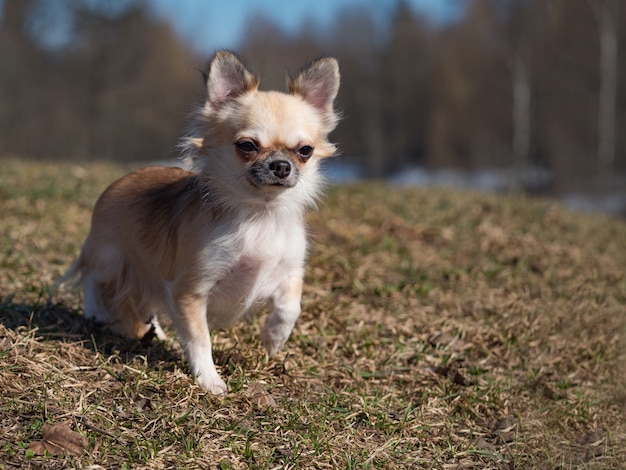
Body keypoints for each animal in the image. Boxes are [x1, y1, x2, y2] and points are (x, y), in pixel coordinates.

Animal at [65, 51, 338, 392]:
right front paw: (209, 379)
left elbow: (290, 307)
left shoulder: (289, 271)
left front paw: (273, 338)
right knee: (92, 275)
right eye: (247, 146)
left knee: (146, 304)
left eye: (305, 150)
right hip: (111, 257)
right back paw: (95, 312)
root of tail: (118, 182)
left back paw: (157, 333)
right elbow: (199, 339)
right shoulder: (190, 290)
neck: (259, 213)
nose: (281, 165)